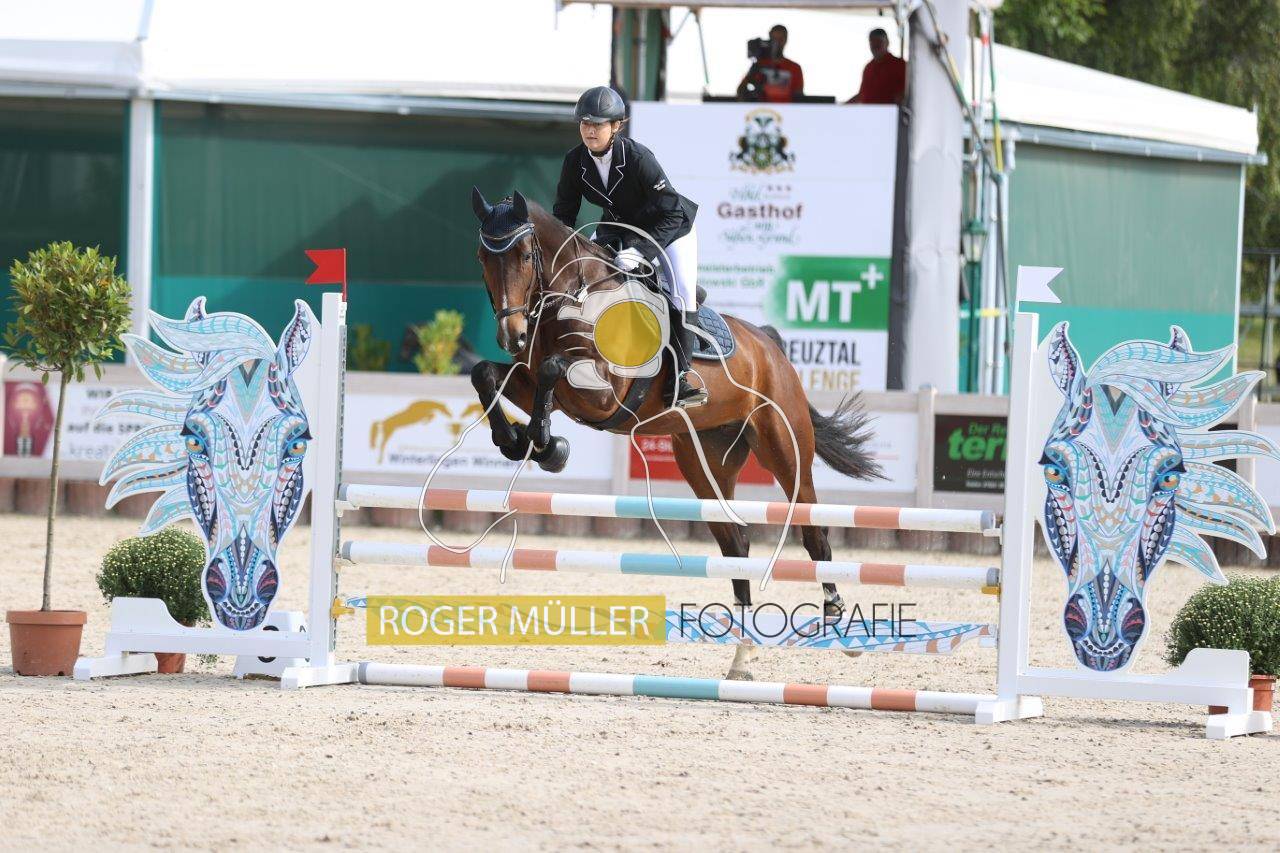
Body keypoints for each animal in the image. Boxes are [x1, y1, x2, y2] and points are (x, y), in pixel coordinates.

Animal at [468, 187, 883, 680]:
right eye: (483, 257)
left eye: (525, 255)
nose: (510, 335)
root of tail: (769, 345)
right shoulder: (530, 376)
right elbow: (487, 374)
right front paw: (519, 442)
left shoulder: (604, 394)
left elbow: (552, 370)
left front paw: (546, 445)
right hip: (704, 463)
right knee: (736, 541)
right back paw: (742, 657)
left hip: (784, 447)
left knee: (812, 529)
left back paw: (838, 619)